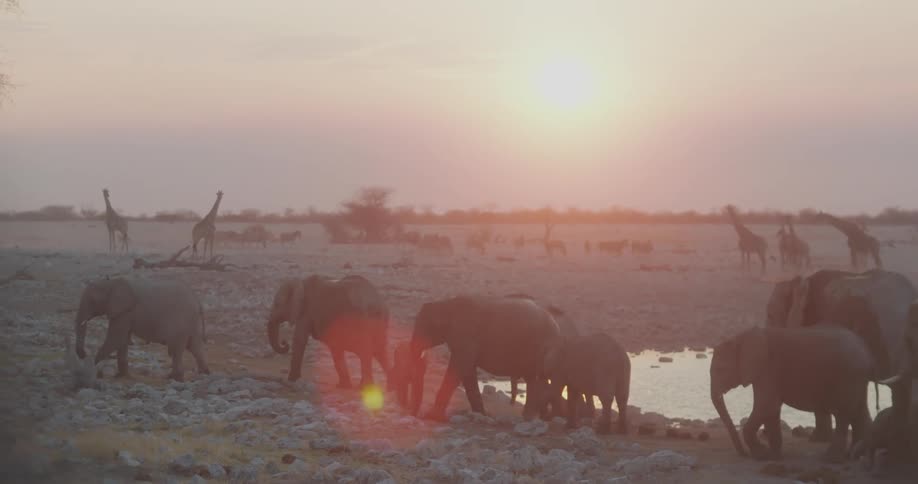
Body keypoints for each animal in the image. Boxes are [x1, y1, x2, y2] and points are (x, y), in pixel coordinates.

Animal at [74, 277, 209, 381]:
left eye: (92, 301)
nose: (83, 354)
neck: (111, 283)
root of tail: (198, 301)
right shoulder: (124, 313)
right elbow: (123, 340)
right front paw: (120, 376)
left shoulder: (124, 312)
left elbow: (116, 338)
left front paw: (96, 373)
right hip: (191, 322)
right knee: (194, 346)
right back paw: (203, 374)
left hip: (181, 321)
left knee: (176, 349)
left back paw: (176, 378)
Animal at [408, 295, 561, 421]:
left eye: (422, 329)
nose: (416, 415)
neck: (445, 304)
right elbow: (468, 372)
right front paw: (482, 415)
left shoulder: (466, 336)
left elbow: (460, 367)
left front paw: (431, 417)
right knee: (533, 379)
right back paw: (537, 417)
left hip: (542, 348)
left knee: (536, 379)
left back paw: (529, 417)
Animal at [710, 326, 874, 462]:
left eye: (720, 369)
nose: (743, 454)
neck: (740, 337)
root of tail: (866, 350)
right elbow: (771, 409)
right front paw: (773, 457)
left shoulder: (767, 369)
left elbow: (767, 405)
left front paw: (761, 455)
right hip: (857, 380)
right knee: (860, 412)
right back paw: (855, 456)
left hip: (847, 377)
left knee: (843, 415)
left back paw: (831, 459)